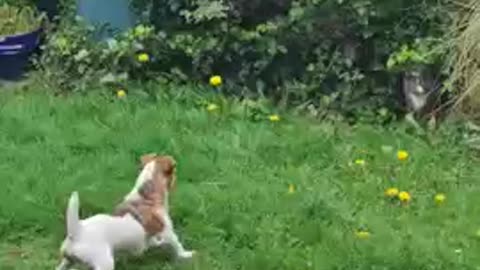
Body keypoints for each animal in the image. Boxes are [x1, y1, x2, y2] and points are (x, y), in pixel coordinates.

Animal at [57, 154, 196, 270]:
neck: (146, 196)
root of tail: (76, 232)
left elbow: (152, 242)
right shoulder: (167, 231)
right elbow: (177, 245)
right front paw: (186, 254)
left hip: (67, 261)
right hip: (104, 263)